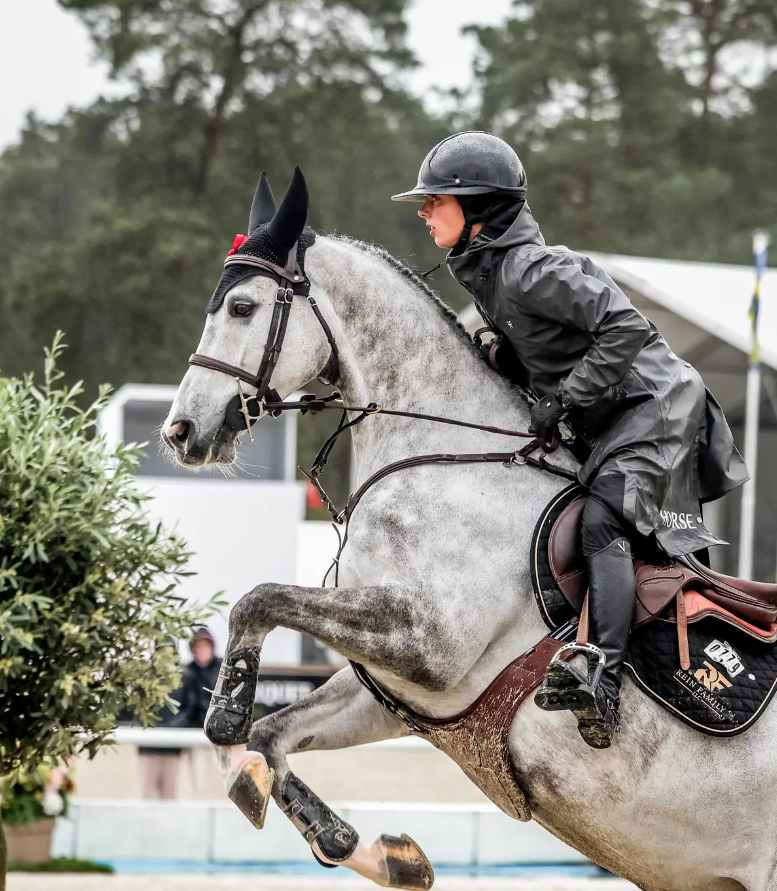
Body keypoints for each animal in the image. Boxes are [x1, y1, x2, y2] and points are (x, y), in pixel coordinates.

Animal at [162, 170, 777, 891]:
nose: (180, 432)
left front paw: (226, 711)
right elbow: (270, 739)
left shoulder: (430, 643)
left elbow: (258, 601)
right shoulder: (395, 692)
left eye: (240, 307)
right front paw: (378, 852)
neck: (441, 457)